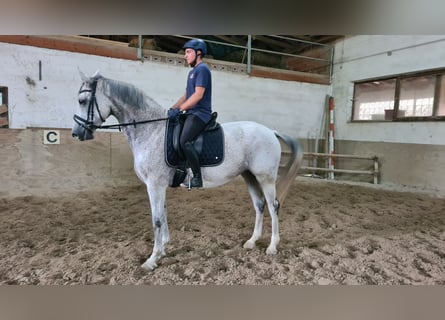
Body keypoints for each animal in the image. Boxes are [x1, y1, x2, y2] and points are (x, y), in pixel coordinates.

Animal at [72, 70, 302, 270]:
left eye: (82, 101)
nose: (76, 133)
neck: (151, 130)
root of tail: (270, 131)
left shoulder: (154, 185)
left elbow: (156, 220)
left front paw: (152, 259)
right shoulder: (159, 186)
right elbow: (163, 214)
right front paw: (164, 249)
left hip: (265, 178)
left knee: (273, 206)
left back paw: (272, 246)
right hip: (249, 176)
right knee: (259, 205)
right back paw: (252, 241)